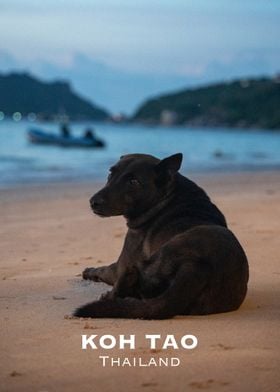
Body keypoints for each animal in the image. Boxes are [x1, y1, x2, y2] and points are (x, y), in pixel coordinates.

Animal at [73, 152, 248, 318]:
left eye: (133, 182)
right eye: (110, 174)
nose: (93, 202)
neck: (166, 198)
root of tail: (196, 267)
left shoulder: (121, 264)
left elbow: (105, 269)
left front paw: (89, 271)